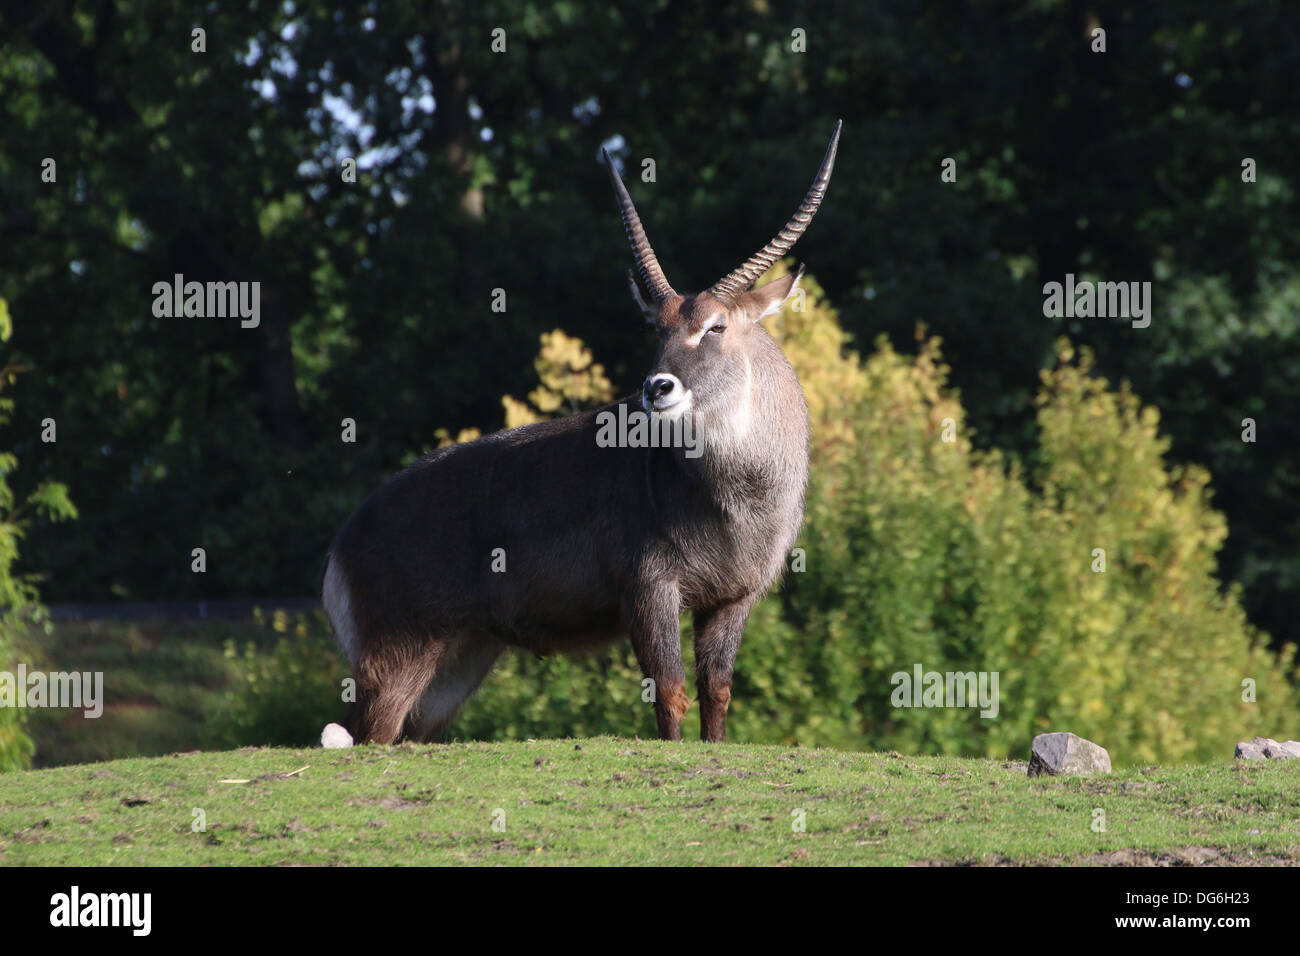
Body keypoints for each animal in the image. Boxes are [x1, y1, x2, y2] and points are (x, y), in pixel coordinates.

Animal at [325, 121, 842, 749]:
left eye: (715, 327)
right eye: (656, 328)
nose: (656, 388)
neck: (737, 496)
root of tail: (342, 541)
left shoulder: (733, 599)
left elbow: (717, 693)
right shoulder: (649, 589)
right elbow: (670, 693)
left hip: (457, 663)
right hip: (398, 656)